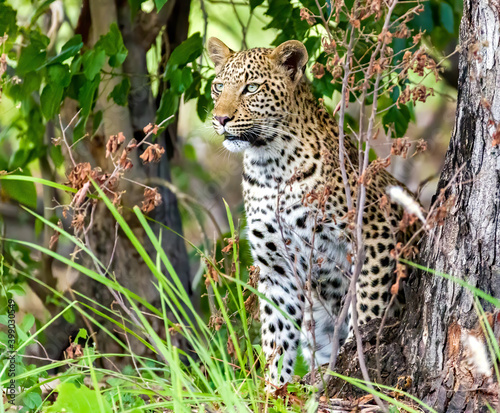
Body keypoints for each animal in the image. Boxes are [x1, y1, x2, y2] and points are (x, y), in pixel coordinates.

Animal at [205, 36, 416, 386]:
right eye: (218, 87)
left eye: (251, 88)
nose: (220, 119)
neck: (269, 166)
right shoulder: (277, 266)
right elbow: (276, 333)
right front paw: (274, 387)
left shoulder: (374, 234)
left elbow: (367, 305)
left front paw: (357, 362)